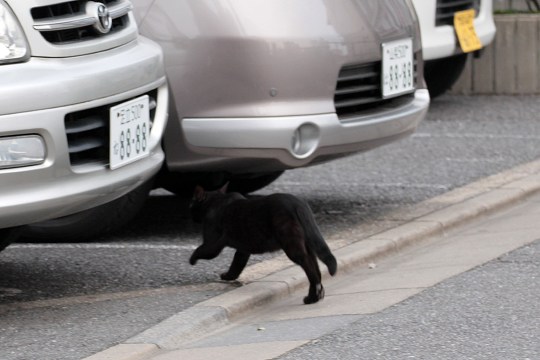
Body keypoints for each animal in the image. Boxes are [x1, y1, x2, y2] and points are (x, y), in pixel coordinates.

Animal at [188, 184, 336, 306]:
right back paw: (318, 295)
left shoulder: (212, 243)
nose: (190, 213)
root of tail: (298, 203)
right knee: (316, 265)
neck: (216, 200)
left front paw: (191, 261)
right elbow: (237, 263)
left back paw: (312, 297)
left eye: (191, 203)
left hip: (292, 246)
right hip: (307, 245)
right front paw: (229, 276)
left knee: (309, 267)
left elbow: (200, 250)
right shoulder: (243, 249)